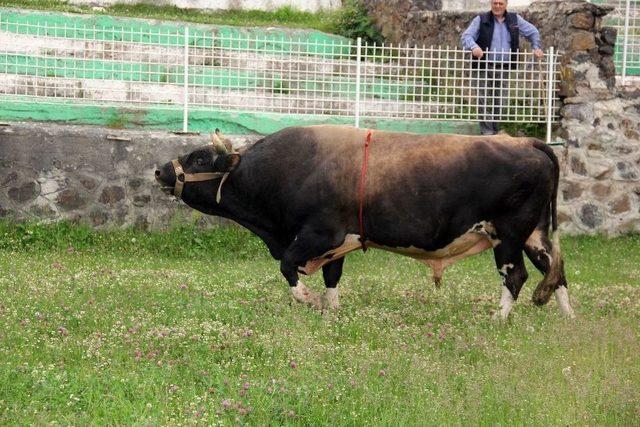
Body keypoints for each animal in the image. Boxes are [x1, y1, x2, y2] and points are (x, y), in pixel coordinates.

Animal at [156, 123, 576, 318]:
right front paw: (332, 310)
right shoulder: (337, 243)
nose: (160, 170)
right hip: (533, 234)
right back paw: (568, 318)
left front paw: (307, 299)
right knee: (554, 271)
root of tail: (523, 141)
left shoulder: (318, 233)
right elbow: (332, 278)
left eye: (199, 158)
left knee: (517, 275)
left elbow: (288, 266)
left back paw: (497, 318)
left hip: (509, 234)